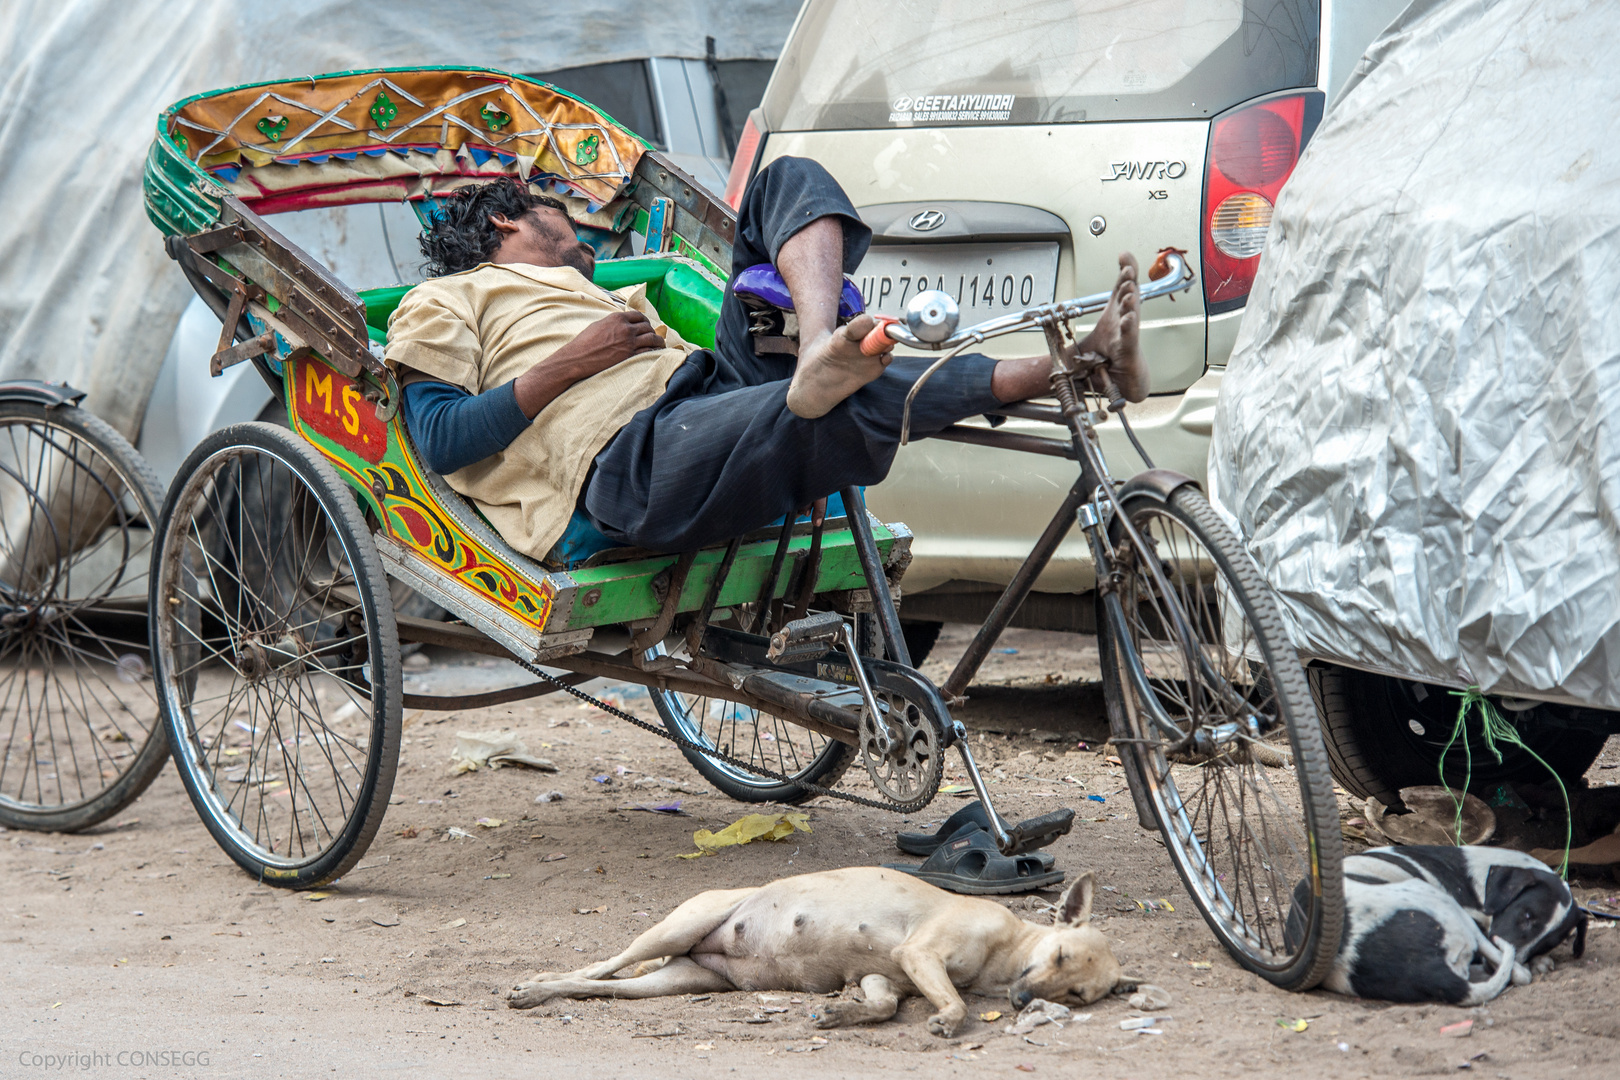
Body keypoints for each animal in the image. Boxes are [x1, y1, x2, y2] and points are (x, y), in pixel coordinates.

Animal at [508, 861, 1127, 1036]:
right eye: (1060, 954)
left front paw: (839, 1013)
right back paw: (535, 987)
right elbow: (952, 1003)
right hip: (680, 925)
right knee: (604, 964)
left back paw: (550, 992)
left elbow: (882, 1004)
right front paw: (951, 1020)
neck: (1005, 951)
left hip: (678, 978)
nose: (1022, 1001)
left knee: (604, 988)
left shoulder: (888, 978)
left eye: (1076, 993)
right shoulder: (920, 955)